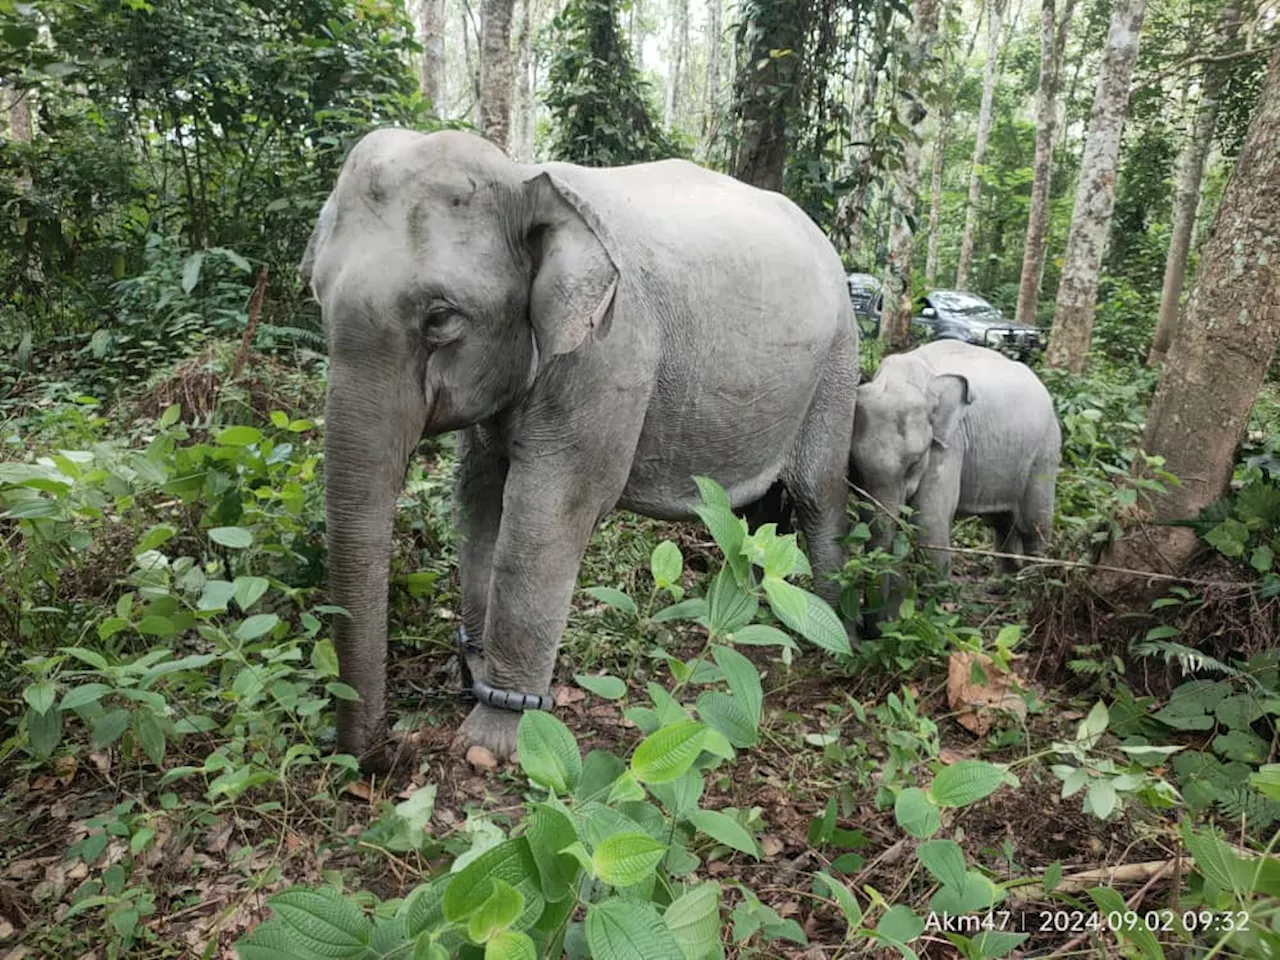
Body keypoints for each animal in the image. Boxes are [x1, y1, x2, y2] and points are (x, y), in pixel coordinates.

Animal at [849, 337, 1059, 624]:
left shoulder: (949, 447)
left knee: (1033, 525)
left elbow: (928, 523)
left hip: (1044, 452)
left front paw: (938, 615)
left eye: (914, 463)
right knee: (1002, 522)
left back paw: (1028, 597)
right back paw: (999, 586)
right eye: (854, 469)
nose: (872, 626)